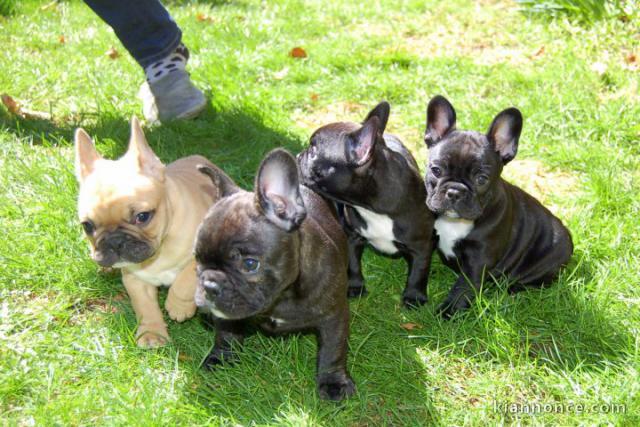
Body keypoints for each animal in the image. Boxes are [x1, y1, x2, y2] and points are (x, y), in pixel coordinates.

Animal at [74, 117, 228, 348]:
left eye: (143, 216)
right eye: (87, 226)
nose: (115, 241)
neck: (160, 249)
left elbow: (186, 277)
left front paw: (178, 305)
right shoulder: (136, 280)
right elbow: (145, 308)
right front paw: (152, 334)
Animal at [195, 148, 356, 402]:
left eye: (250, 264)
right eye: (197, 259)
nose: (209, 285)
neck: (283, 296)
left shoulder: (335, 316)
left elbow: (333, 350)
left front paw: (333, 382)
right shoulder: (227, 314)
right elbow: (226, 334)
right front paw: (222, 357)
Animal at [298, 102, 438, 310]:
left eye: (314, 151)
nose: (299, 155)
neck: (373, 207)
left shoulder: (421, 245)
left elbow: (418, 272)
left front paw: (414, 297)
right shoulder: (352, 237)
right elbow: (354, 263)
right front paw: (355, 286)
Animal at [422, 95, 572, 320]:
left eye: (481, 179)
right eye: (436, 170)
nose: (455, 191)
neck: (456, 222)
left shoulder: (478, 261)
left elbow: (462, 288)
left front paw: (447, 314)